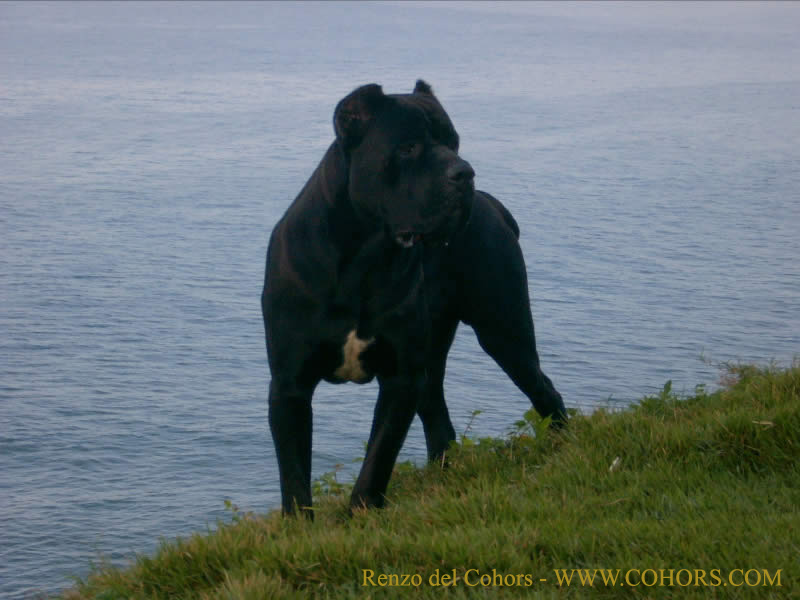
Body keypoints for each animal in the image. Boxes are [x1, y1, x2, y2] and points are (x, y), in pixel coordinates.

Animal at [260, 79, 564, 516]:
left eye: (454, 142)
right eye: (408, 148)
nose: (464, 171)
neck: (364, 256)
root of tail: (492, 205)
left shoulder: (400, 378)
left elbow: (379, 455)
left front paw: (361, 512)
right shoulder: (290, 384)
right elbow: (295, 474)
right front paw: (302, 526)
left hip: (504, 331)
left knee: (543, 389)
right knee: (439, 417)